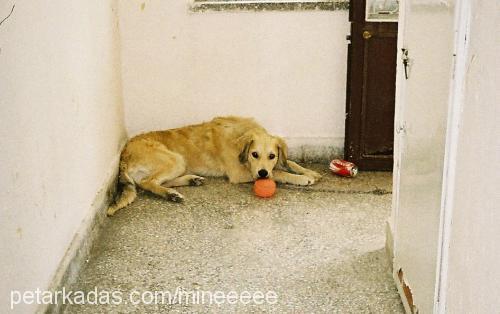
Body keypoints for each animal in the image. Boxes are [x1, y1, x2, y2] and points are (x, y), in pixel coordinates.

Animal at [107, 115, 322, 216]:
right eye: (254, 154)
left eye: (272, 155)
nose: (262, 174)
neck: (239, 135)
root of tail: (124, 154)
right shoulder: (239, 173)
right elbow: (278, 172)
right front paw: (302, 178)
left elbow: (288, 162)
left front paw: (309, 171)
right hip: (175, 159)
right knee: (147, 182)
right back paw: (171, 195)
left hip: (178, 163)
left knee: (157, 181)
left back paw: (189, 181)